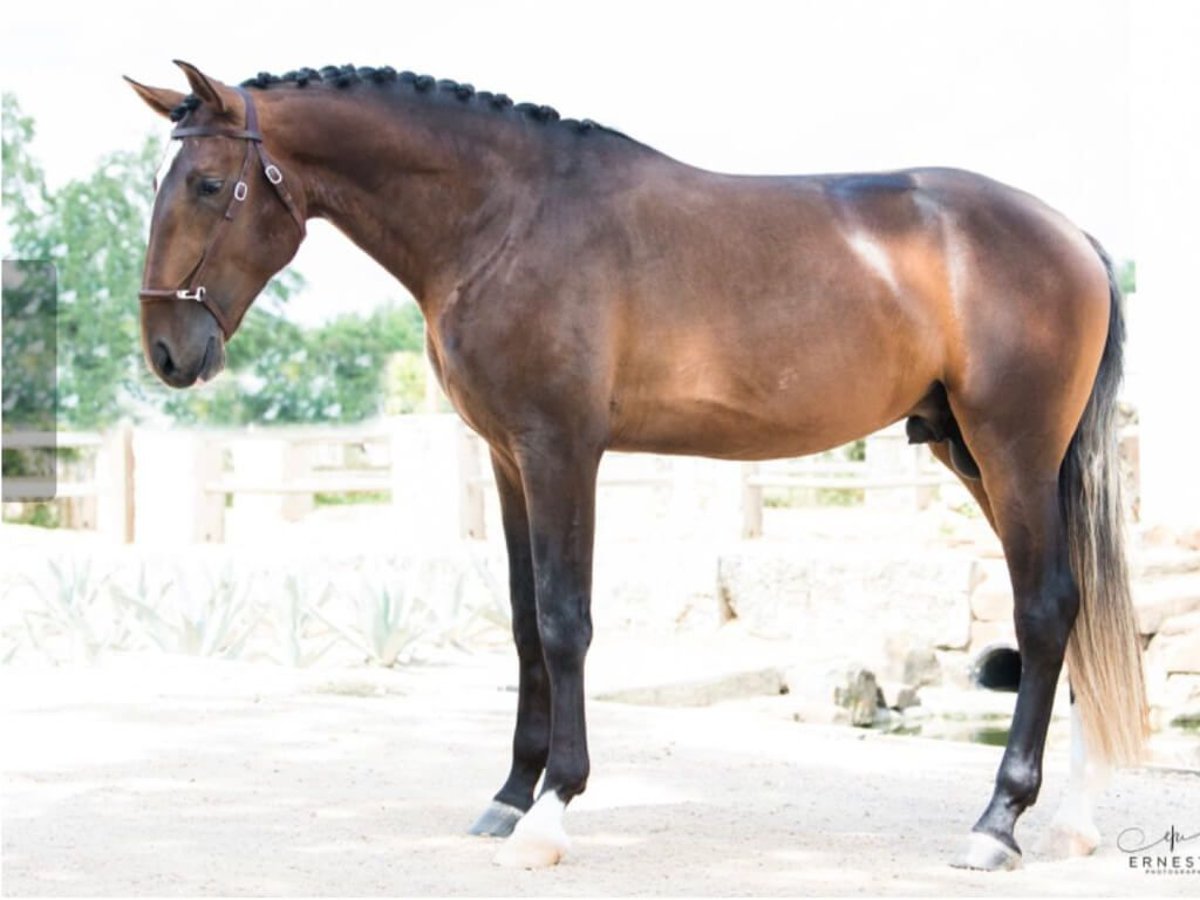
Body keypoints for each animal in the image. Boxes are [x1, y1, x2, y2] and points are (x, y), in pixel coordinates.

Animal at [126, 61, 1147, 873]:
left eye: (210, 184)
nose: (168, 352)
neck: (506, 217)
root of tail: (1073, 237)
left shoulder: (561, 449)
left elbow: (564, 621)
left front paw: (552, 810)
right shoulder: (507, 459)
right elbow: (523, 625)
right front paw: (509, 796)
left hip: (1011, 450)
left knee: (1045, 610)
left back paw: (997, 823)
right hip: (971, 451)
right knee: (1072, 609)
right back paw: (1074, 820)